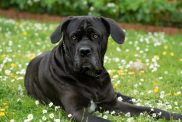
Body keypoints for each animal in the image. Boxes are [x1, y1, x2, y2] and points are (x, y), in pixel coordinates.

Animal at [24, 16, 182, 122]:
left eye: (95, 35)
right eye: (74, 37)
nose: (84, 51)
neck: (91, 78)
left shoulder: (113, 104)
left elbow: (149, 109)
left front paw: (174, 115)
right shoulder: (76, 111)